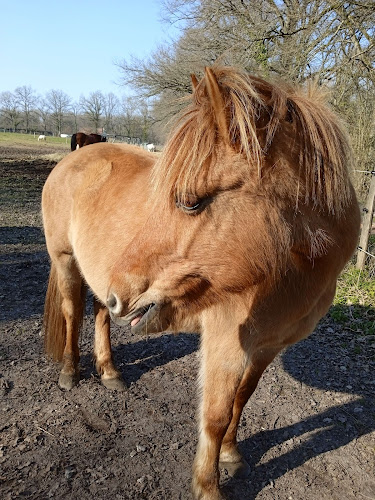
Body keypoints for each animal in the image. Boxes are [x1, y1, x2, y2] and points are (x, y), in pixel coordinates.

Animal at [41, 66, 362, 500]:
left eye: (190, 202)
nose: (120, 292)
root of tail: (75, 157)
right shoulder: (226, 342)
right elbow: (215, 414)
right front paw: (208, 486)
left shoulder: (267, 347)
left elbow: (242, 399)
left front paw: (231, 454)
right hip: (66, 262)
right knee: (73, 313)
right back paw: (70, 373)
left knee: (99, 314)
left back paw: (109, 372)